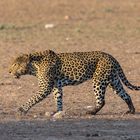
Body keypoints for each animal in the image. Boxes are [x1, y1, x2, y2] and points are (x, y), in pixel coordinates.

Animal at [9, 49, 140, 117]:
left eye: (16, 64)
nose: (9, 71)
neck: (34, 67)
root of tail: (111, 57)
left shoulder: (45, 88)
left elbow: (32, 99)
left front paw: (22, 109)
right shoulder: (56, 86)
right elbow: (58, 99)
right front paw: (59, 112)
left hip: (98, 80)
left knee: (102, 101)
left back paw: (91, 112)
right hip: (114, 81)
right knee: (126, 95)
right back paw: (131, 111)